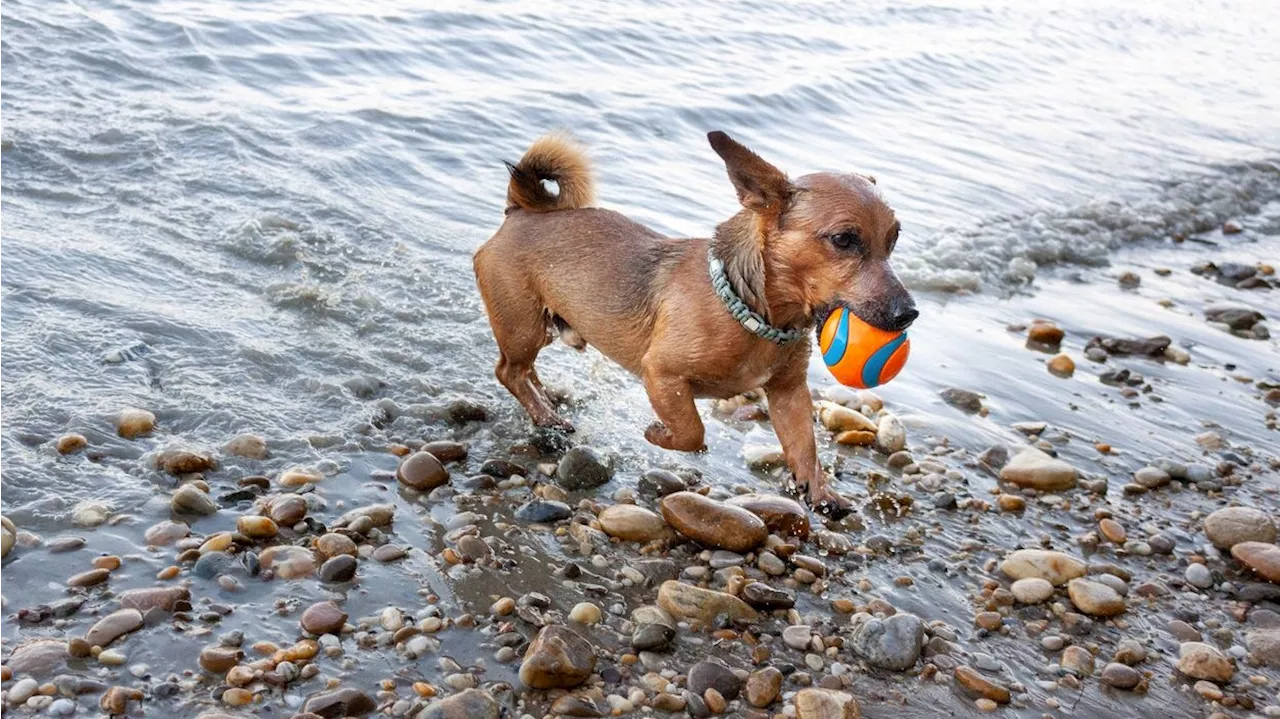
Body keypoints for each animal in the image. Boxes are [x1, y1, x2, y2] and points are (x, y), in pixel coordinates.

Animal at [476, 128, 916, 509]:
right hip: (524, 328)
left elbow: (803, 445)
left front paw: (820, 491)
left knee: (524, 372)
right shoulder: (662, 374)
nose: (909, 313)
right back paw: (545, 416)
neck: (755, 315)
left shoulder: (789, 393)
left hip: (538, 329)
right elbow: (692, 431)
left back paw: (545, 402)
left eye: (894, 239)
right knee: (508, 371)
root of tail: (522, 212)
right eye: (843, 240)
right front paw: (658, 433)